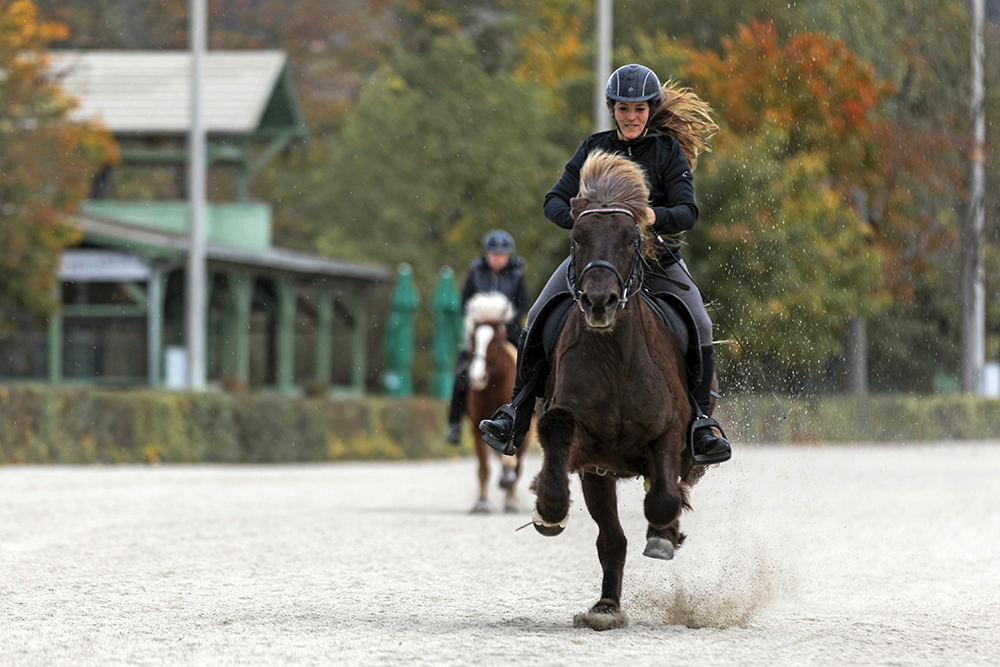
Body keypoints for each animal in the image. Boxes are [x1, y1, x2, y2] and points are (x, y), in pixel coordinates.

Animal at [466, 290, 532, 516]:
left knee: (518, 466)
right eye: (472, 340)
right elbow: (483, 468)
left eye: (496, 342)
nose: (477, 378)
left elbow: (512, 463)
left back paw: (510, 498)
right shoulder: (477, 425)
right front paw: (481, 503)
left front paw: (507, 483)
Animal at [532, 151, 712, 632]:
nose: (599, 302)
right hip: (600, 477)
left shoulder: (669, 434)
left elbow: (664, 497)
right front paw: (547, 508)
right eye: (576, 238)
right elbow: (556, 431)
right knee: (612, 539)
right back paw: (606, 606)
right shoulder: (588, 454)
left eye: (632, 239)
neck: (614, 358)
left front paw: (665, 534)